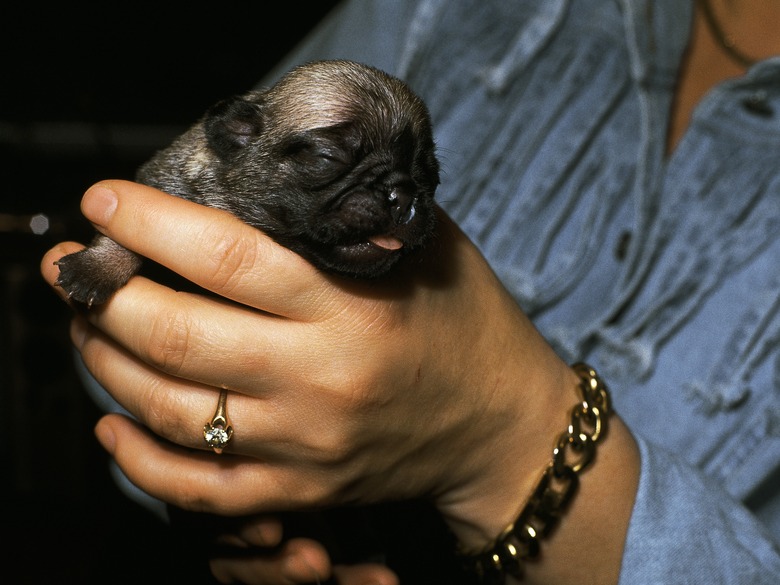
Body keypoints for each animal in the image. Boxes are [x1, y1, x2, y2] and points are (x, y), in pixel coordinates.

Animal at [56, 59, 438, 306]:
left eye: (430, 173)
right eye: (326, 157)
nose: (402, 194)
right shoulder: (161, 181)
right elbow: (124, 238)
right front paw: (96, 269)